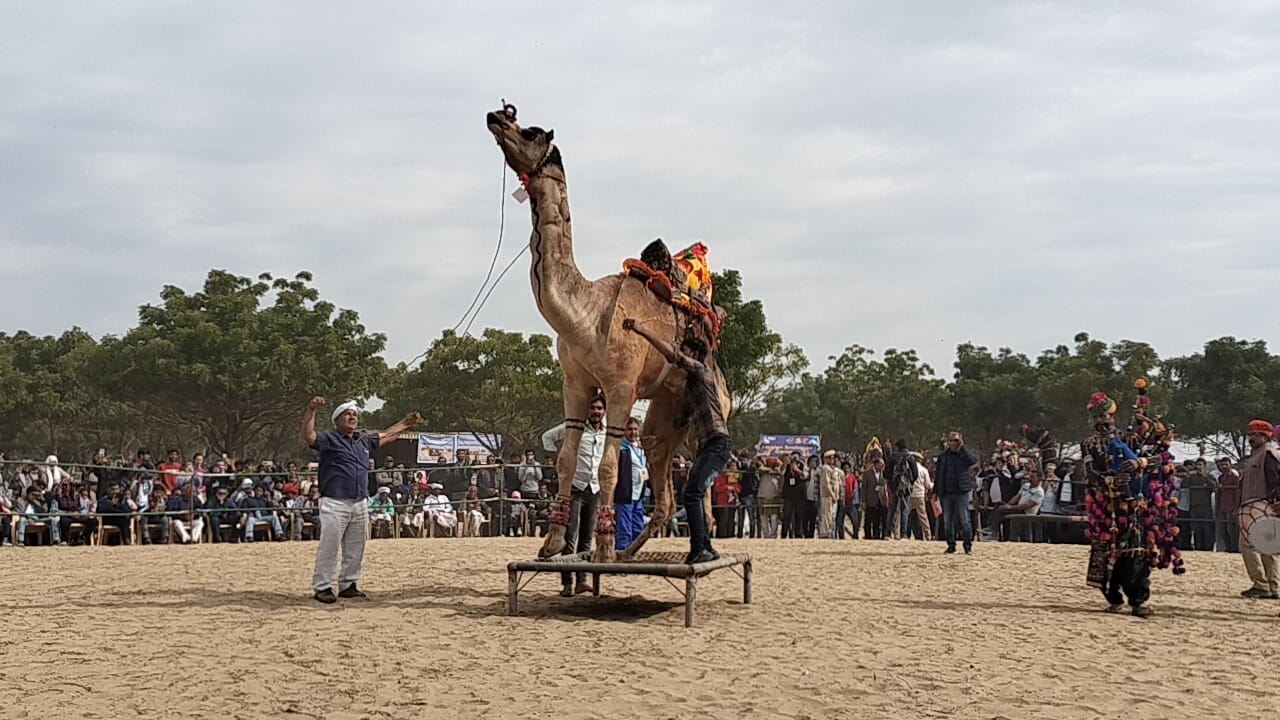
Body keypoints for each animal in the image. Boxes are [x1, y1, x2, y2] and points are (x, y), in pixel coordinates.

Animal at [486, 105, 737, 561]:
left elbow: (606, 467)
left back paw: (694, 550)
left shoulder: (621, 387)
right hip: (665, 417)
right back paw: (632, 551)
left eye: (530, 131)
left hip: (709, 416)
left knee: (703, 480)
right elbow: (567, 460)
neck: (585, 314)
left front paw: (601, 547)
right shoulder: (575, 384)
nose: (495, 116)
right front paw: (552, 545)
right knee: (663, 481)